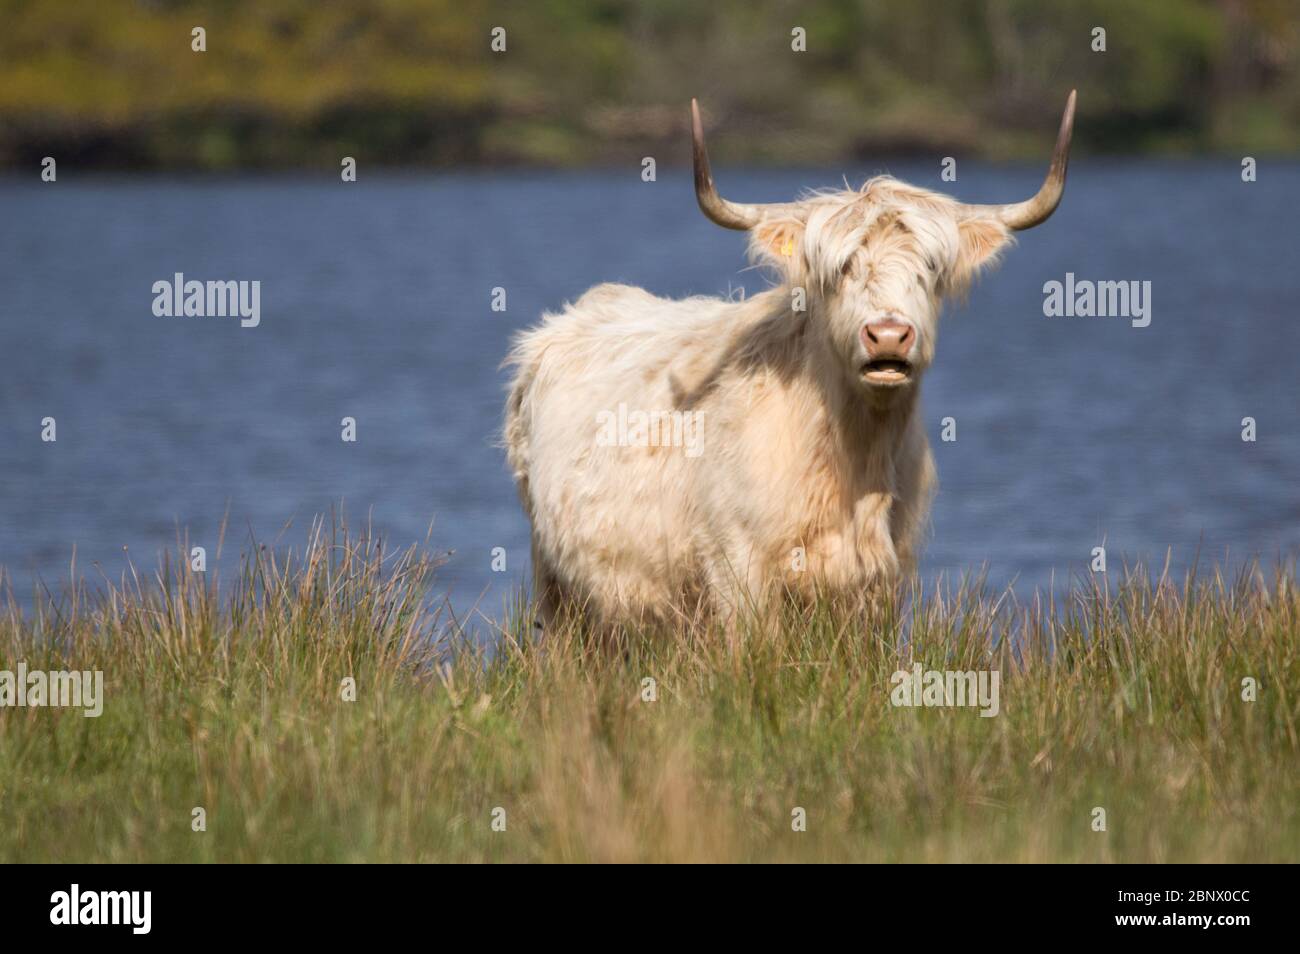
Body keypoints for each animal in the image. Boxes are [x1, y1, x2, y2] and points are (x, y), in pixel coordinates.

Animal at [501, 93, 1071, 631]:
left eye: (930, 268)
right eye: (838, 270)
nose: (888, 335)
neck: (857, 460)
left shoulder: (882, 579)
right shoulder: (737, 566)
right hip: (555, 584)